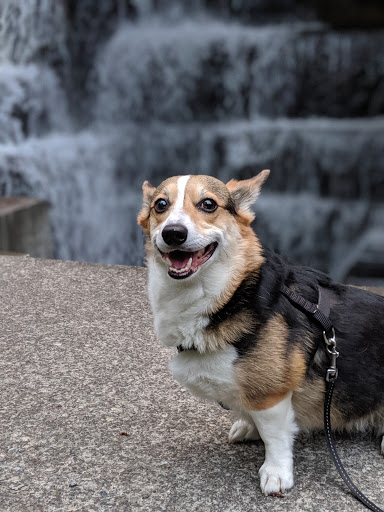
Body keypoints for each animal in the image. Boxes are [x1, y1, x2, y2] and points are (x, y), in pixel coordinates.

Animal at [138, 172, 384, 496]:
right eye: (160, 205)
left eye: (208, 204)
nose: (173, 233)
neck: (227, 296)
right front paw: (247, 426)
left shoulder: (272, 393)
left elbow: (274, 436)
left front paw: (276, 474)